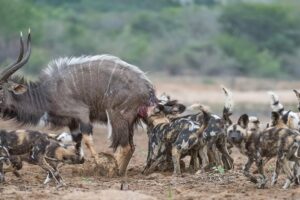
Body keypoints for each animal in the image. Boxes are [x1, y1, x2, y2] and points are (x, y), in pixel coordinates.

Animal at [0, 30, 158, 176]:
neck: (47, 94)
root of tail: (148, 89)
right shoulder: (72, 122)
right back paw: (120, 171)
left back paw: (114, 172)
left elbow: (87, 140)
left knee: (125, 147)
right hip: (129, 121)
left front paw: (100, 167)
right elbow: (76, 143)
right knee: (131, 147)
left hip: (117, 117)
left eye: (1, 87)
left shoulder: (82, 114)